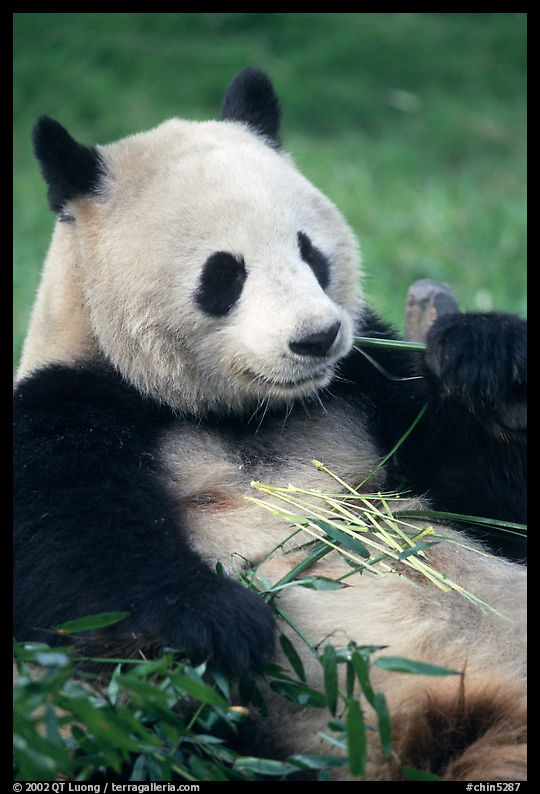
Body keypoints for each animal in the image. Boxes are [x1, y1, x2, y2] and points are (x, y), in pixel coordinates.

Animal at [14, 68, 526, 780]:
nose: (317, 338)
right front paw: (221, 625)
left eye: (311, 253)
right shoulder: (65, 408)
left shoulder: (369, 386)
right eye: (224, 273)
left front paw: (487, 359)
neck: (244, 412)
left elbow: (490, 503)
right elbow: (70, 553)